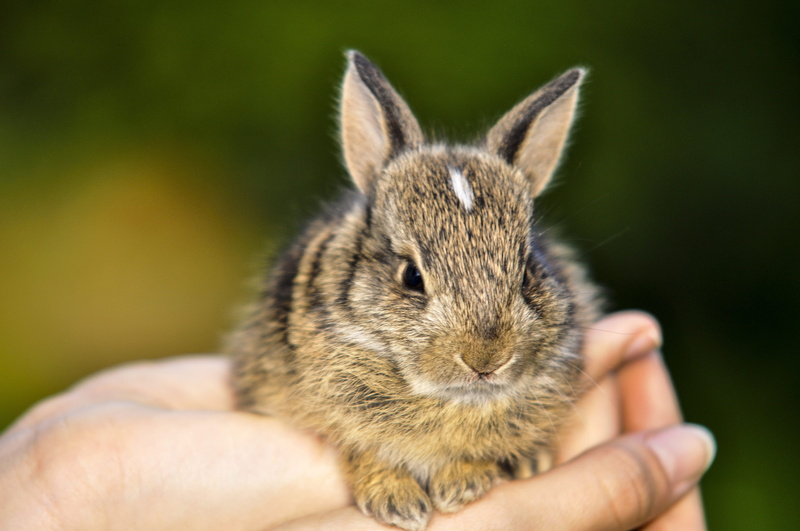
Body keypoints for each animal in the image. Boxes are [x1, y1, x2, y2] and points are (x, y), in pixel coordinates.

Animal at [228, 50, 603, 531]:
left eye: (526, 272)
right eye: (411, 276)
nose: (487, 360)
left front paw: (460, 485)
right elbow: (362, 451)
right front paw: (398, 504)